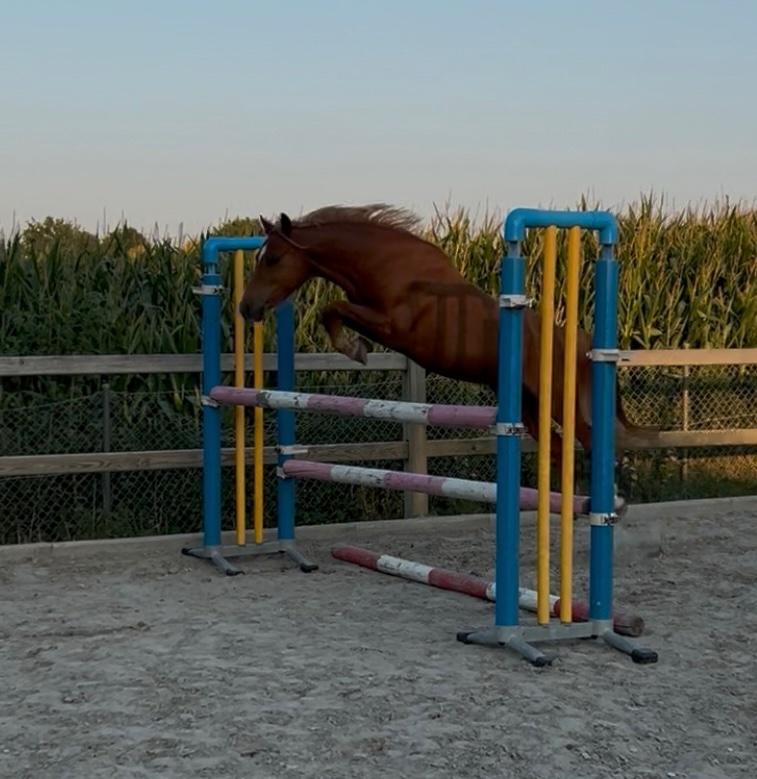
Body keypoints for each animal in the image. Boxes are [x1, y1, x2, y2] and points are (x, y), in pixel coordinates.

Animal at [238, 204, 657, 466]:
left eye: (273, 258)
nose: (247, 308)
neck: (389, 267)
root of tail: (583, 344)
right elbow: (335, 310)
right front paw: (355, 347)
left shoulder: (395, 326)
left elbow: (333, 308)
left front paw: (355, 349)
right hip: (527, 402)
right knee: (556, 450)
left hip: (555, 397)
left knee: (590, 442)